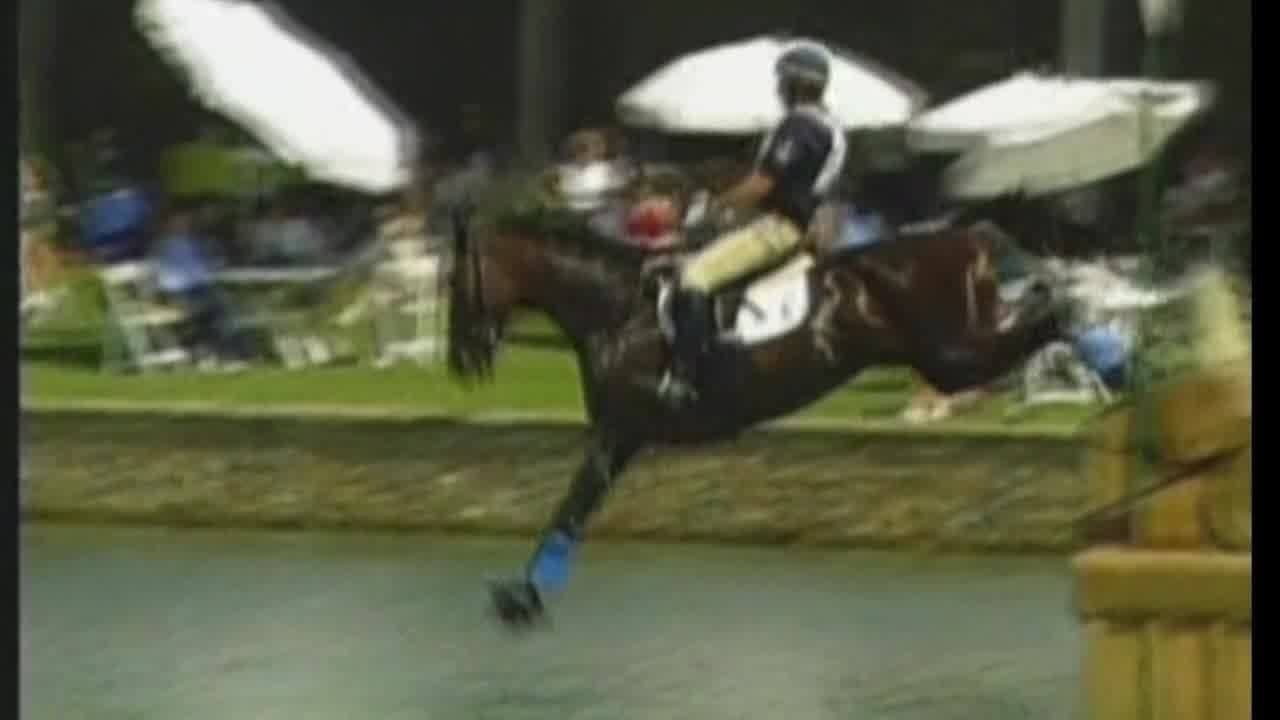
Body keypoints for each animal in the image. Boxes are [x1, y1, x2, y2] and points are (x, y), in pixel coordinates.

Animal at [446, 184, 1074, 629]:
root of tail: (965, 240)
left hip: (952, 354)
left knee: (1049, 318)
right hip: (953, 350)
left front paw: (522, 597)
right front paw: (527, 592)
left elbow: (571, 506)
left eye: (453, 282)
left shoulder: (620, 426)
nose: (458, 360)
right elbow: (574, 509)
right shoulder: (624, 434)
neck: (616, 308)